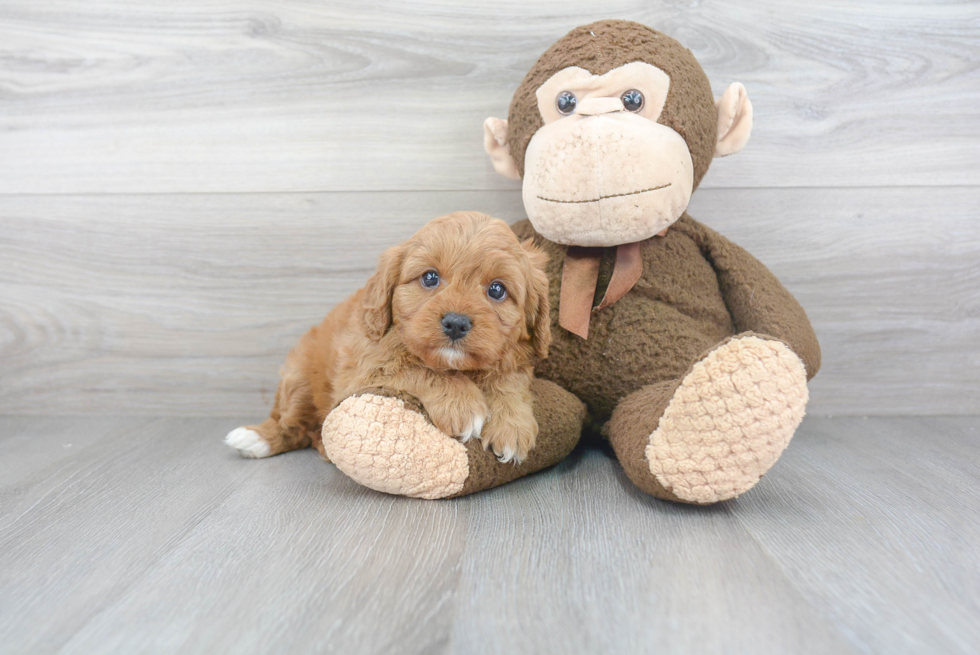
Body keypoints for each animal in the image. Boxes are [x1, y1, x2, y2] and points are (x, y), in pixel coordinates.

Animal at [226, 213, 556, 464]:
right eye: (430, 277)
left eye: (497, 290)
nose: (456, 323)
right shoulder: (363, 371)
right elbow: (419, 368)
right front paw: (462, 404)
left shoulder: (515, 358)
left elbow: (509, 379)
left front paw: (511, 425)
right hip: (299, 378)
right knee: (292, 424)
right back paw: (256, 438)